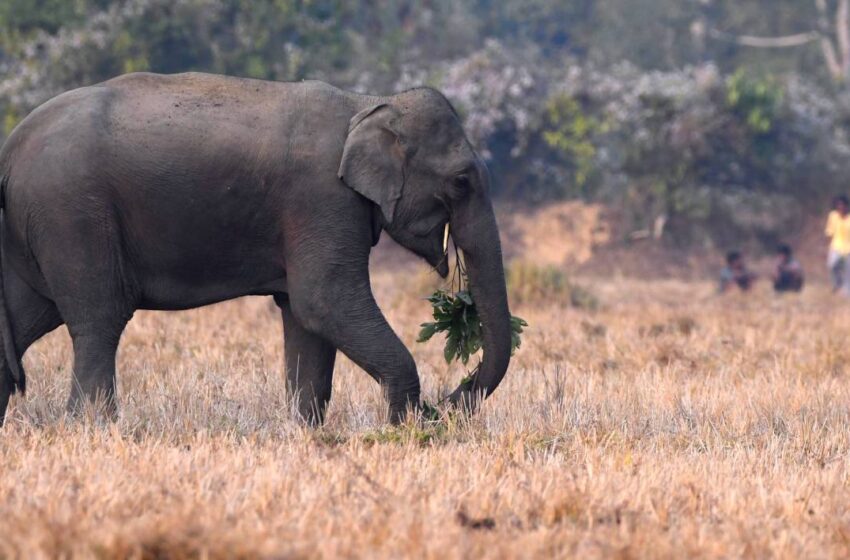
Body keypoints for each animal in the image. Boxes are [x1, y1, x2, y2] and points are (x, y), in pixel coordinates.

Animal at [0, 73, 510, 424]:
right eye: (461, 181)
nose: (447, 402)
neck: (367, 104)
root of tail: (10, 146)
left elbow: (305, 318)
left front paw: (306, 431)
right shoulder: (320, 199)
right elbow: (324, 303)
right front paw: (406, 426)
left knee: (30, 314)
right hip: (72, 213)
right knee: (98, 318)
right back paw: (92, 425)